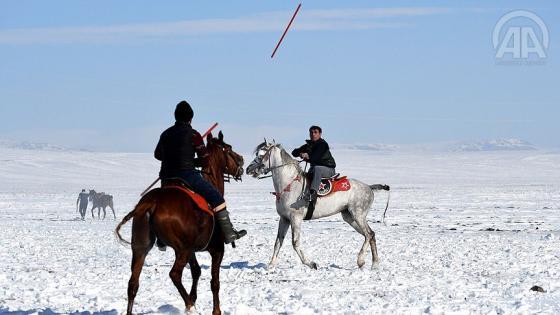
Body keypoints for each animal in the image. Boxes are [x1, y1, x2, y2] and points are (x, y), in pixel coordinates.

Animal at [115, 131, 243, 315]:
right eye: (229, 149)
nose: (242, 161)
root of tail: (151, 202)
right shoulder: (216, 249)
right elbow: (214, 282)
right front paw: (214, 309)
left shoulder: (193, 250)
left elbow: (196, 271)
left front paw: (194, 297)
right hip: (182, 249)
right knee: (174, 274)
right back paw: (189, 305)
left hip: (141, 247)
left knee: (133, 283)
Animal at [246, 142, 390, 270]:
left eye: (262, 154)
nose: (248, 169)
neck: (289, 185)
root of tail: (369, 187)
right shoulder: (284, 219)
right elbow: (278, 243)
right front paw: (270, 266)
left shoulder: (295, 218)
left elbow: (295, 243)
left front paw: (312, 264)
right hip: (349, 217)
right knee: (370, 235)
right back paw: (374, 264)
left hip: (358, 214)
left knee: (369, 234)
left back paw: (361, 261)